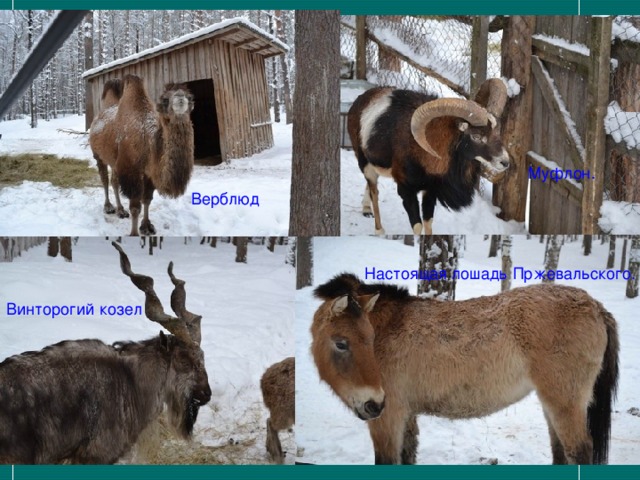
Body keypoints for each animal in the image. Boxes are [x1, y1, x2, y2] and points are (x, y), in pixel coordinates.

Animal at [89, 74, 195, 235]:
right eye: (165, 99)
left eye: (190, 97)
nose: (180, 98)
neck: (148, 144)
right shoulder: (132, 172)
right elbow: (135, 207)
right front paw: (134, 233)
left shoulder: (148, 173)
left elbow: (147, 200)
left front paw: (146, 226)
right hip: (98, 155)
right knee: (105, 179)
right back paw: (108, 207)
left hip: (115, 161)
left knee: (114, 181)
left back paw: (121, 210)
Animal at [310, 273, 619, 465]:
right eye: (341, 343)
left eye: (371, 338)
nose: (372, 404)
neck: (390, 326)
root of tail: (595, 307)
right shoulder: (405, 415)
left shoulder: (388, 419)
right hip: (553, 404)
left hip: (565, 404)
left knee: (579, 451)